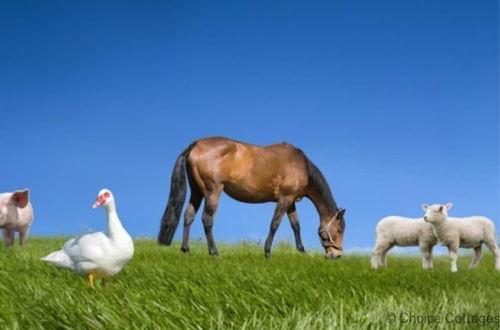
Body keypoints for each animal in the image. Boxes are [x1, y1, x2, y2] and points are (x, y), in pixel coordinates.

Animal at [158, 136, 346, 258]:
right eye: (339, 229)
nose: (336, 255)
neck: (301, 165)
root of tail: (196, 145)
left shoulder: (291, 201)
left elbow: (296, 226)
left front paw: (302, 251)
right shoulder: (285, 199)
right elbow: (275, 224)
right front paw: (267, 252)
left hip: (197, 191)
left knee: (188, 216)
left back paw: (186, 250)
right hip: (212, 191)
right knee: (207, 219)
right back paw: (214, 252)